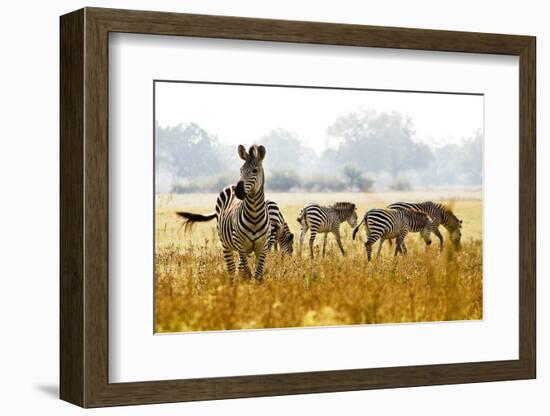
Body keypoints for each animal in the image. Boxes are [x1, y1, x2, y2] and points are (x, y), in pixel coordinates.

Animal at [177, 145, 272, 282]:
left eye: (255, 170)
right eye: (241, 170)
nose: (238, 191)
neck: (254, 215)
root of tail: (231, 186)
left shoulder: (262, 247)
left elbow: (258, 275)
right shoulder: (240, 245)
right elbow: (247, 273)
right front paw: (247, 287)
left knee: (238, 268)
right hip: (225, 244)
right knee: (232, 270)